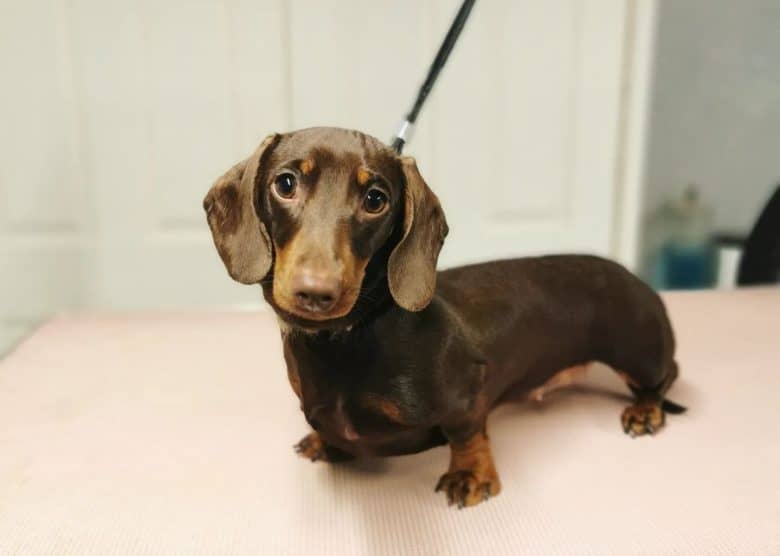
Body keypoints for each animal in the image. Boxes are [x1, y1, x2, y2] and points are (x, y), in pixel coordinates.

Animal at [203, 128, 684, 510]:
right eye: (285, 183)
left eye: (376, 199)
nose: (316, 293)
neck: (350, 338)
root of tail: (635, 277)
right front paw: (322, 441)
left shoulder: (470, 391)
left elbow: (467, 432)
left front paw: (470, 475)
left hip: (639, 352)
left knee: (666, 375)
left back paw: (646, 410)